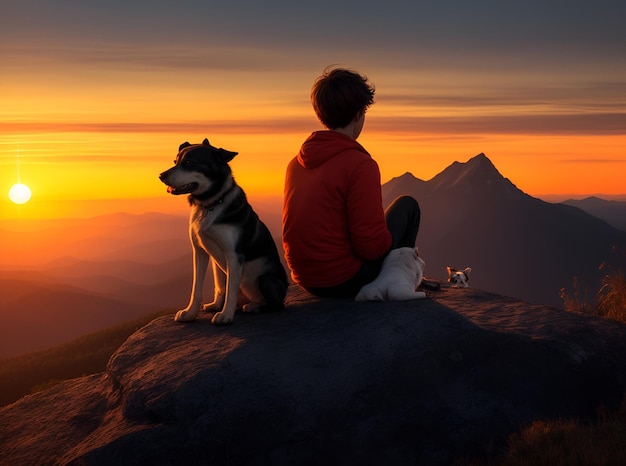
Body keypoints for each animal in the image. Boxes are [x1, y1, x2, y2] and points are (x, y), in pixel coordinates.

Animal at [161, 140, 288, 326]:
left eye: (189, 163)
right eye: (175, 161)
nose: (161, 176)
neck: (210, 204)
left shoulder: (234, 255)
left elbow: (230, 290)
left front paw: (226, 315)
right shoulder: (200, 251)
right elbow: (199, 288)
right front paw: (190, 313)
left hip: (266, 279)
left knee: (276, 304)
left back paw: (254, 307)